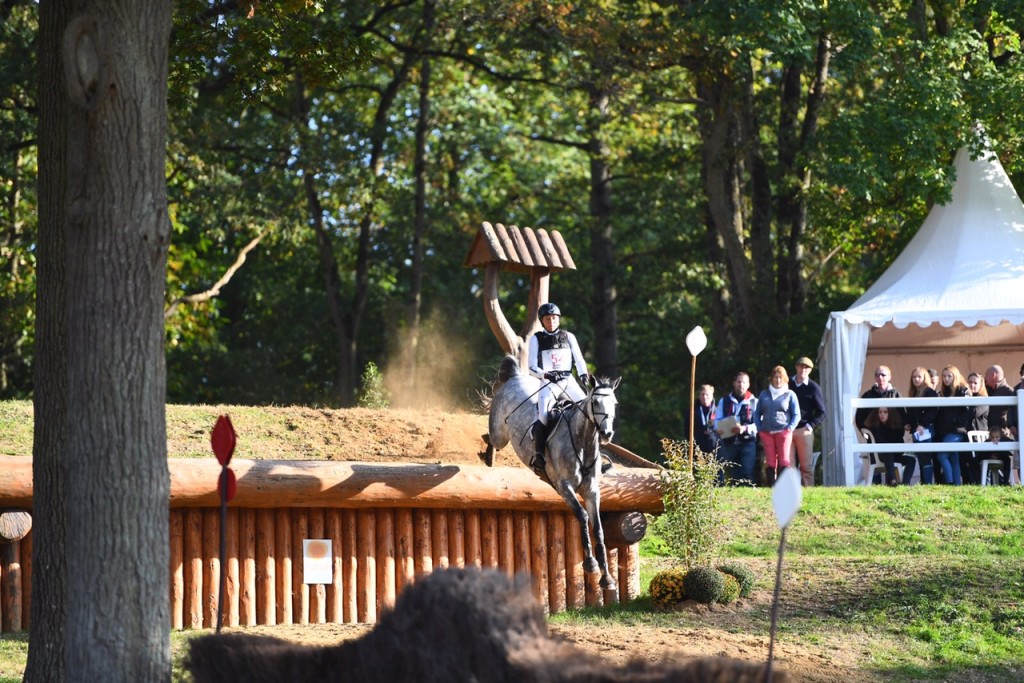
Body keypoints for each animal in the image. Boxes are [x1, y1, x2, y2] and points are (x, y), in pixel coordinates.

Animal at [477, 356, 618, 589]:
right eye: (596, 402)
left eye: (614, 403)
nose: (607, 434)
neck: (583, 443)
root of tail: (516, 376)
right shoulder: (564, 487)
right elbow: (582, 515)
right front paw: (590, 564)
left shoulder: (591, 491)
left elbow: (598, 528)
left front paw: (607, 578)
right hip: (501, 434)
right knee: (491, 438)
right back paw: (488, 458)